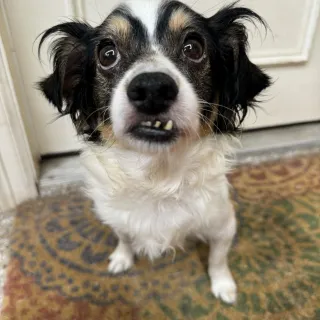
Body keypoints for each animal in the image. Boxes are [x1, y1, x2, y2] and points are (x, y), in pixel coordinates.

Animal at [38, 0, 272, 304]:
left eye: (193, 47)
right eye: (107, 54)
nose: (152, 88)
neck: (156, 176)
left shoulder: (223, 224)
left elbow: (217, 258)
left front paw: (223, 285)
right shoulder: (116, 217)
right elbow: (124, 237)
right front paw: (122, 258)